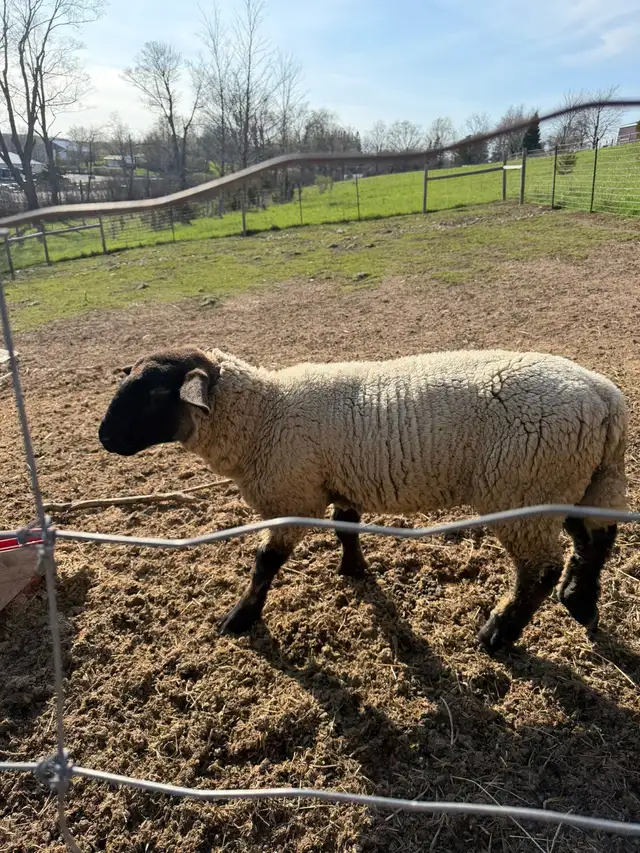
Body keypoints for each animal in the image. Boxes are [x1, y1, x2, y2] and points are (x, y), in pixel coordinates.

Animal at [98, 346, 628, 654]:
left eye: (153, 395)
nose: (103, 438)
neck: (263, 415)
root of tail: (605, 399)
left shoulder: (294, 497)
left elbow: (265, 560)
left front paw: (241, 617)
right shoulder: (337, 481)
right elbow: (346, 525)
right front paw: (353, 569)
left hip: (525, 488)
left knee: (540, 569)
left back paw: (500, 632)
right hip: (585, 481)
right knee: (595, 541)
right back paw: (580, 603)